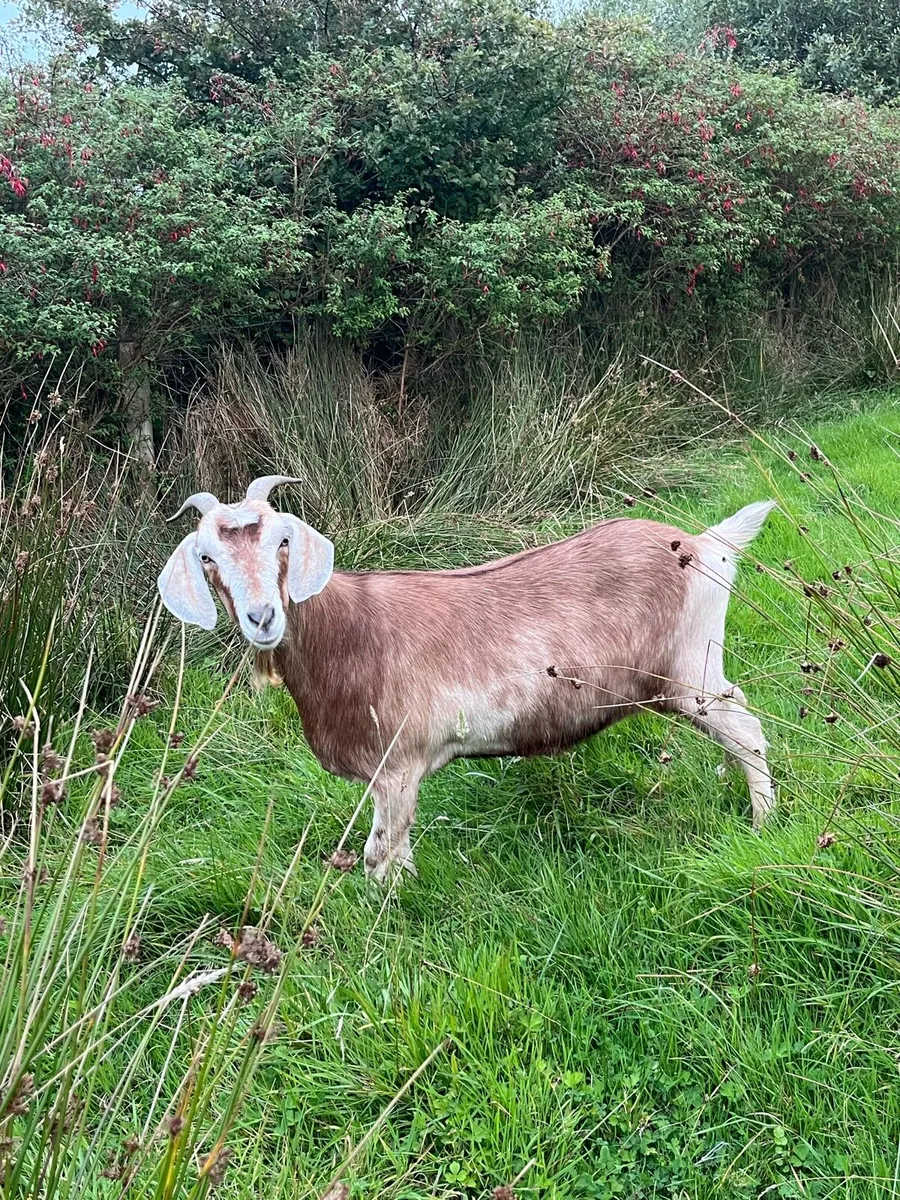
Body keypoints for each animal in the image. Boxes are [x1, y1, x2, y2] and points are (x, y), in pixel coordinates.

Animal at [158, 476, 776, 881]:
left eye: (283, 540)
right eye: (207, 558)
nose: (262, 617)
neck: (349, 633)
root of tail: (705, 545)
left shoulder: (397, 764)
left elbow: (381, 855)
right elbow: (395, 849)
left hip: (686, 671)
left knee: (744, 724)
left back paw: (762, 821)